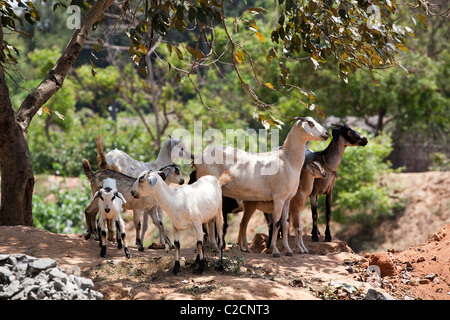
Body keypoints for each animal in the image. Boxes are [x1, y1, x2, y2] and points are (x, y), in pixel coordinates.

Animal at [194, 117, 330, 258]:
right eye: (311, 123)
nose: (327, 134)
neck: (287, 160)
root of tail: (199, 158)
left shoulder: (287, 200)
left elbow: (285, 224)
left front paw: (288, 250)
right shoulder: (278, 198)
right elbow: (276, 224)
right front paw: (276, 251)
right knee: (211, 219)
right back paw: (214, 247)